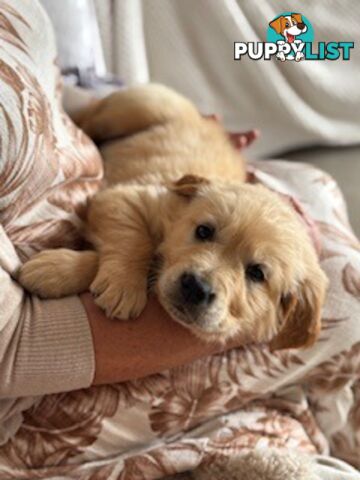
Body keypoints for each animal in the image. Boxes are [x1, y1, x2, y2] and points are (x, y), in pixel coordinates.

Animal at [20, 84, 330, 346]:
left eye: (257, 273)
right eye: (203, 231)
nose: (196, 287)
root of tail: (209, 123)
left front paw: (54, 270)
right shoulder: (125, 198)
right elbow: (135, 240)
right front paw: (122, 285)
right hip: (136, 108)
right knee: (89, 117)